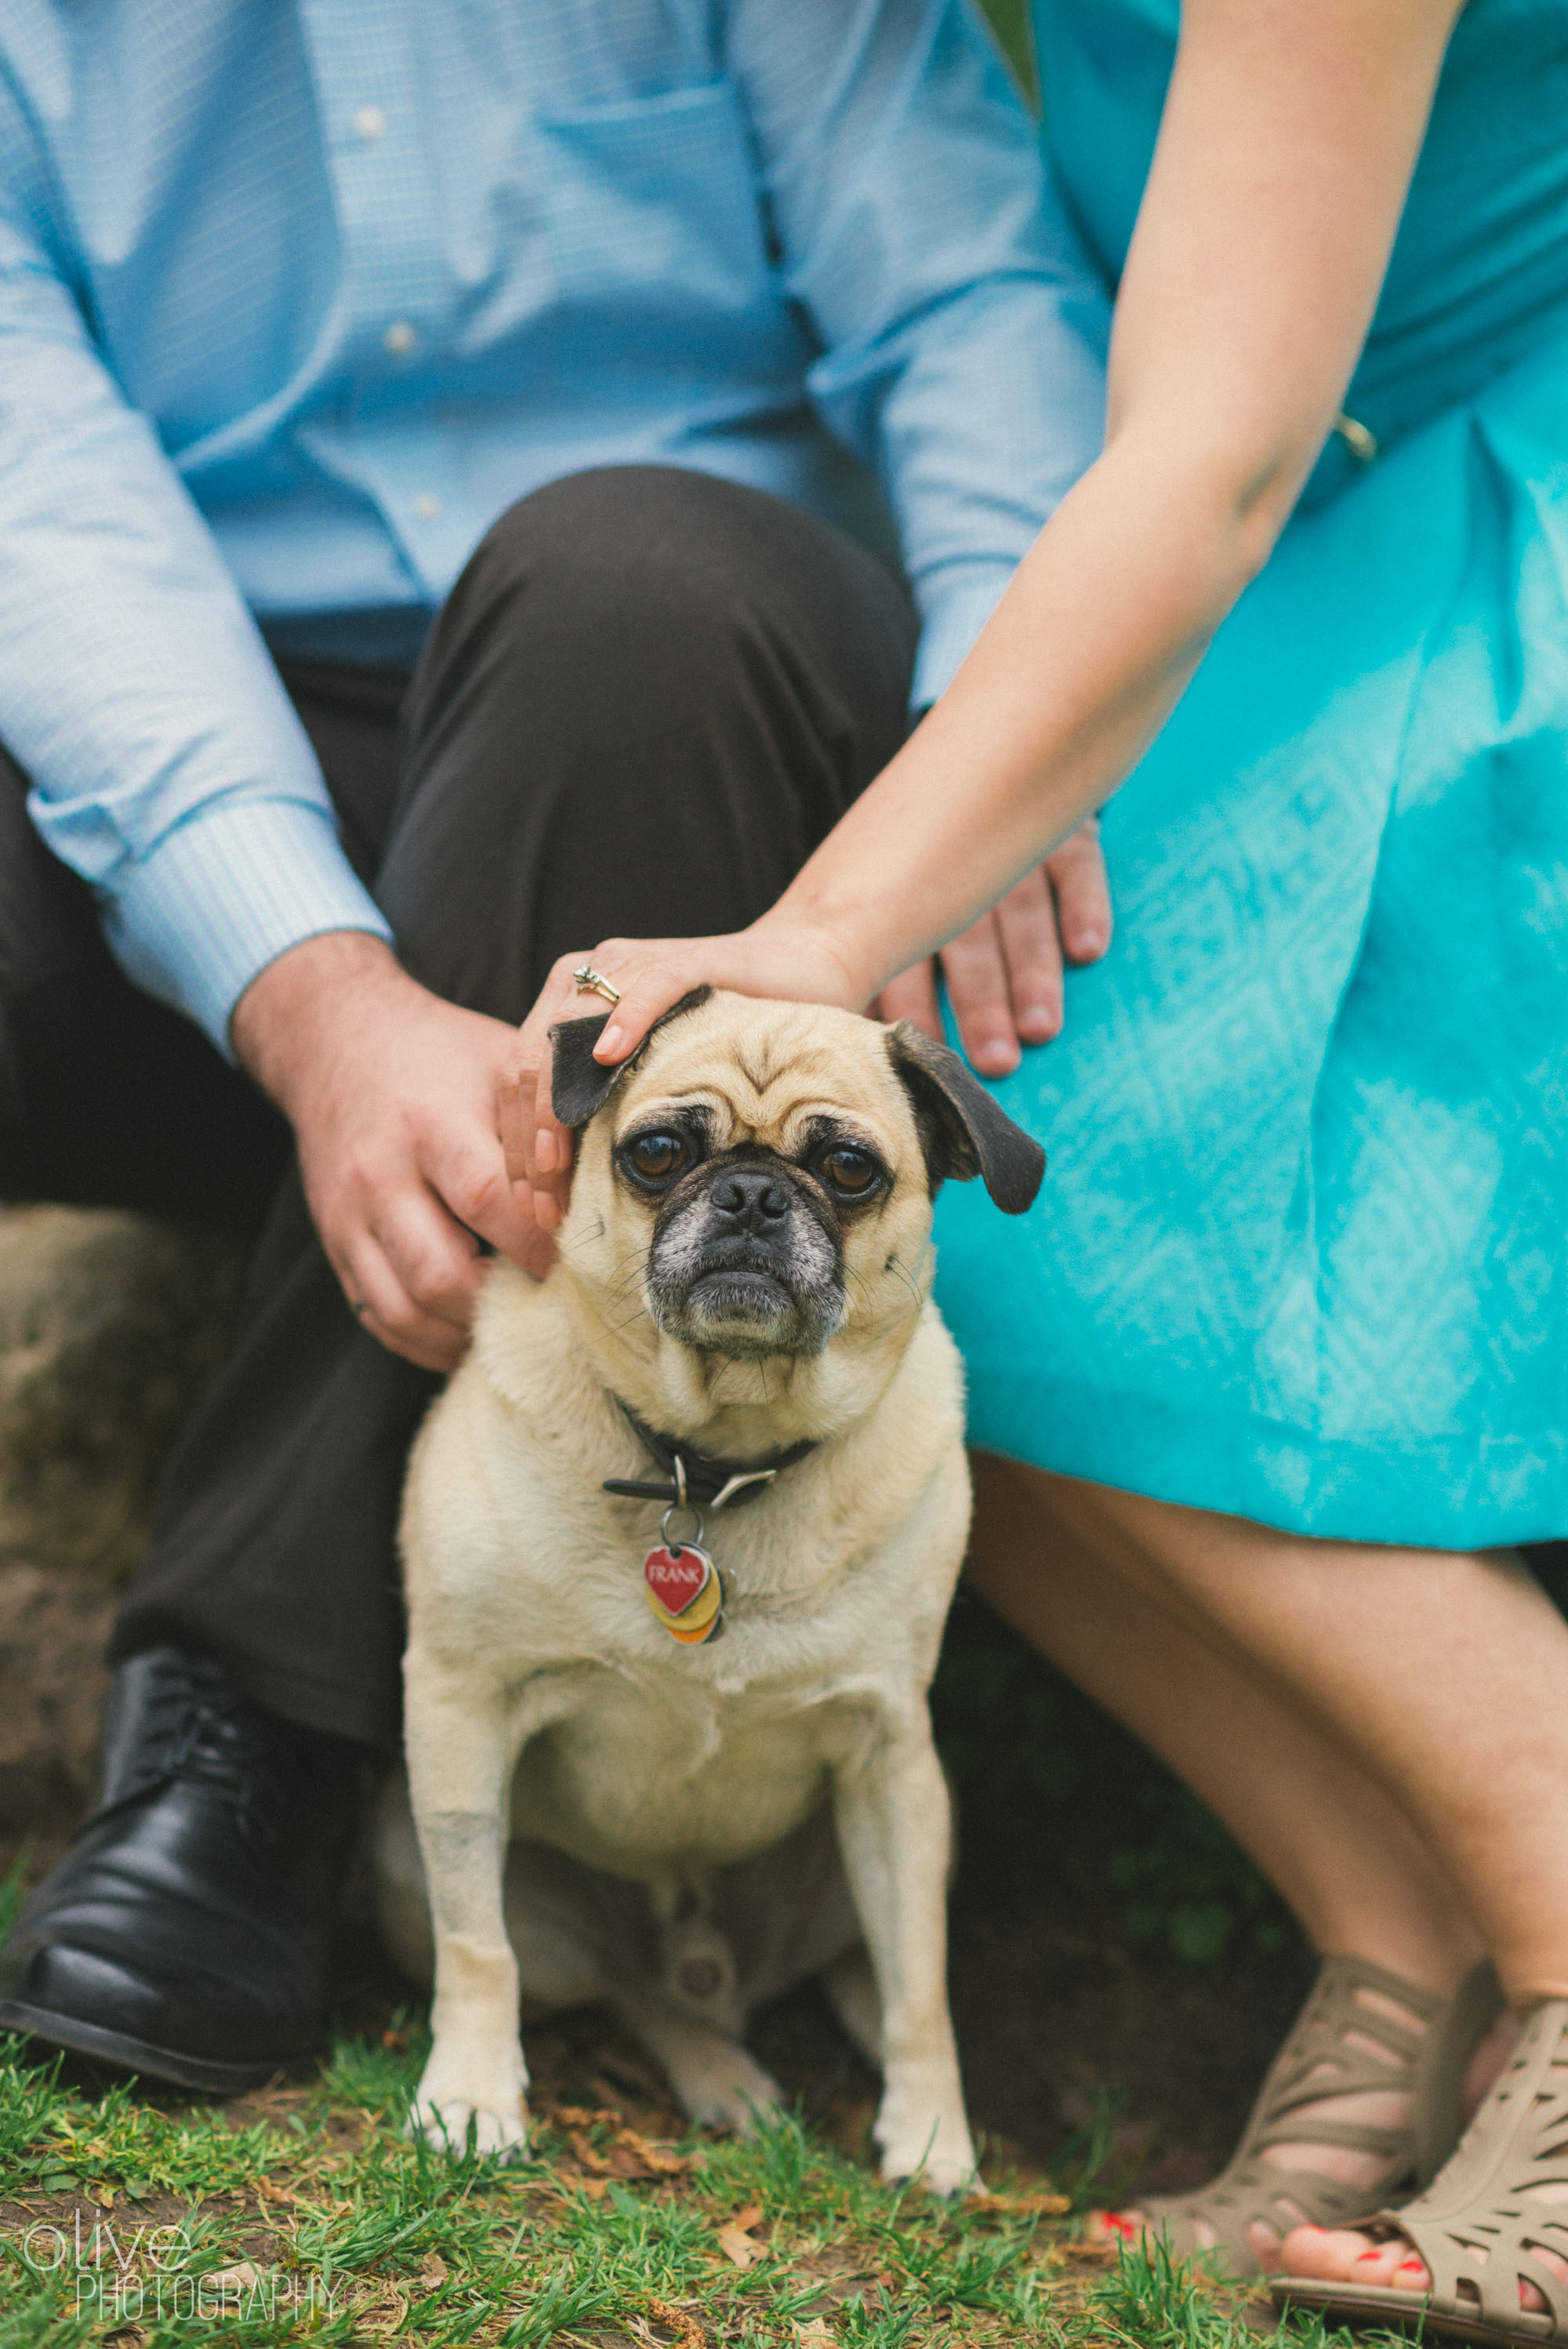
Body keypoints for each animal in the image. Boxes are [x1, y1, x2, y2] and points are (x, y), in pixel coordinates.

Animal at [376, 982, 1042, 2189]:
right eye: (658, 1153)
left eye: (849, 1170)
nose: (750, 1195)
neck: (716, 1463)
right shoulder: (458, 1707)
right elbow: (476, 1948)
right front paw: (469, 2099)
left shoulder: (888, 1751)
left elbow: (923, 1982)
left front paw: (932, 2136)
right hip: (416, 1852)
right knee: (629, 1991)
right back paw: (718, 2077)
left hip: (916, 1813)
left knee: (867, 1964)